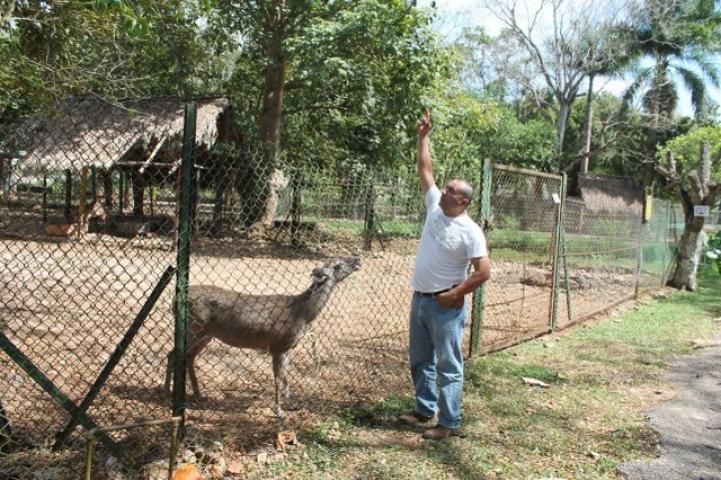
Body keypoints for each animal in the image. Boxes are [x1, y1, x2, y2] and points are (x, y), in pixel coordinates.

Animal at [165, 255, 358, 416]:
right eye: (338, 265)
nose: (357, 260)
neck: (302, 314)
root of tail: (174, 301)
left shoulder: (287, 348)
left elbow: (287, 376)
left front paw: (289, 401)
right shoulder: (277, 345)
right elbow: (278, 378)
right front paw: (279, 411)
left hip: (206, 334)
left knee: (188, 357)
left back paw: (199, 394)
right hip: (193, 327)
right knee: (173, 353)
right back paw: (166, 392)